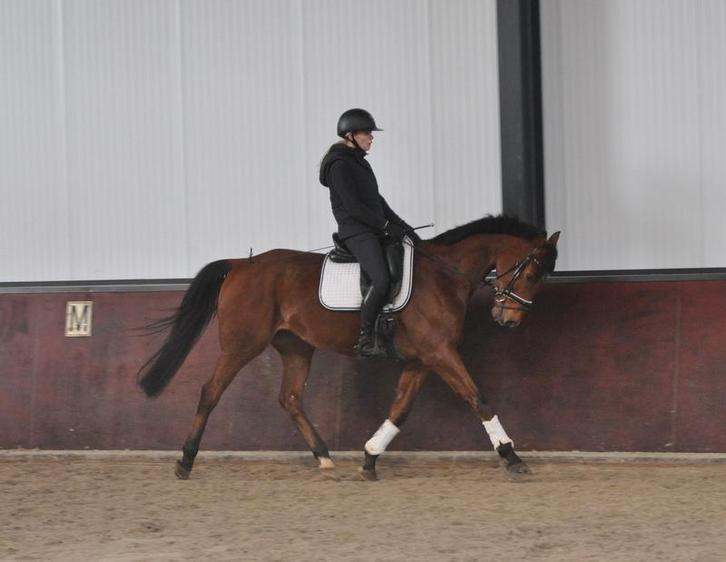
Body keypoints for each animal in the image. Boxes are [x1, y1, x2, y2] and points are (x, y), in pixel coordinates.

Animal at [138, 214, 559, 481]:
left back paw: (324, 458)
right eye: (532, 272)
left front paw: (370, 457)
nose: (509, 321)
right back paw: (185, 461)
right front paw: (512, 457)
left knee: (290, 398)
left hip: (296, 347)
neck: (443, 276)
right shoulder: (441, 354)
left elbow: (400, 410)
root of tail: (241, 264)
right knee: (211, 392)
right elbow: (478, 400)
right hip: (241, 346)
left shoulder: (424, 359)